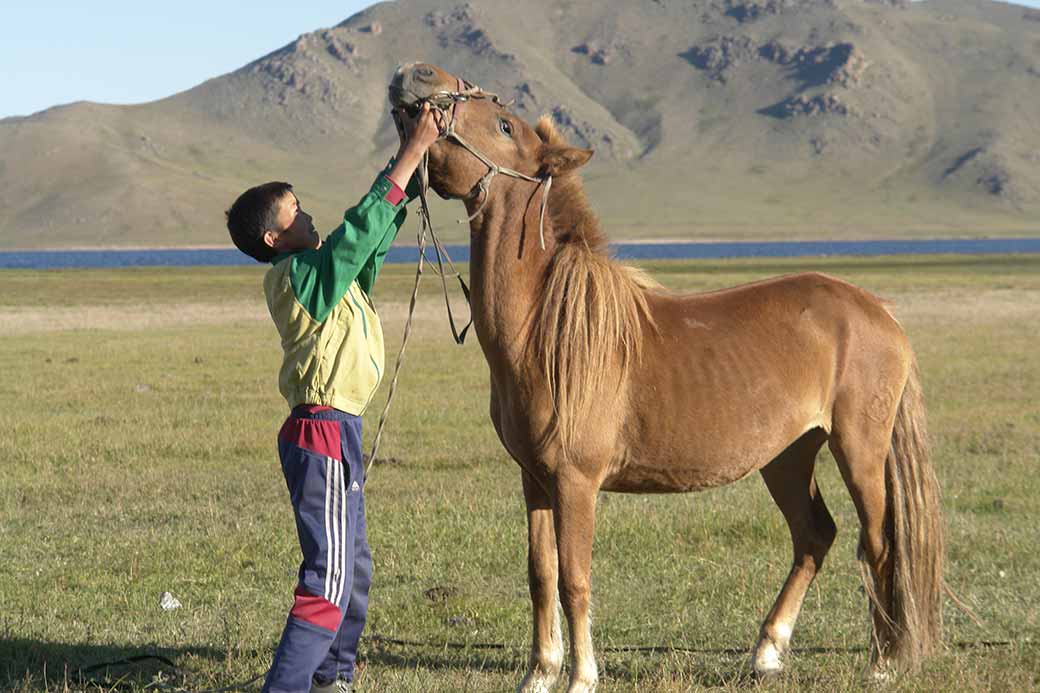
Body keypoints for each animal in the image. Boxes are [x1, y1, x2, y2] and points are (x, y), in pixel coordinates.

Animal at [388, 62, 952, 686]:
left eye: (504, 124)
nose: (418, 75)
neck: (545, 328)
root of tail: (878, 308)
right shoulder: (534, 479)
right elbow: (541, 575)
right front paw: (539, 673)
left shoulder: (575, 481)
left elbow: (574, 579)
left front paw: (582, 676)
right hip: (787, 455)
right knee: (815, 535)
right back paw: (767, 651)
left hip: (858, 450)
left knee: (877, 543)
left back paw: (884, 661)